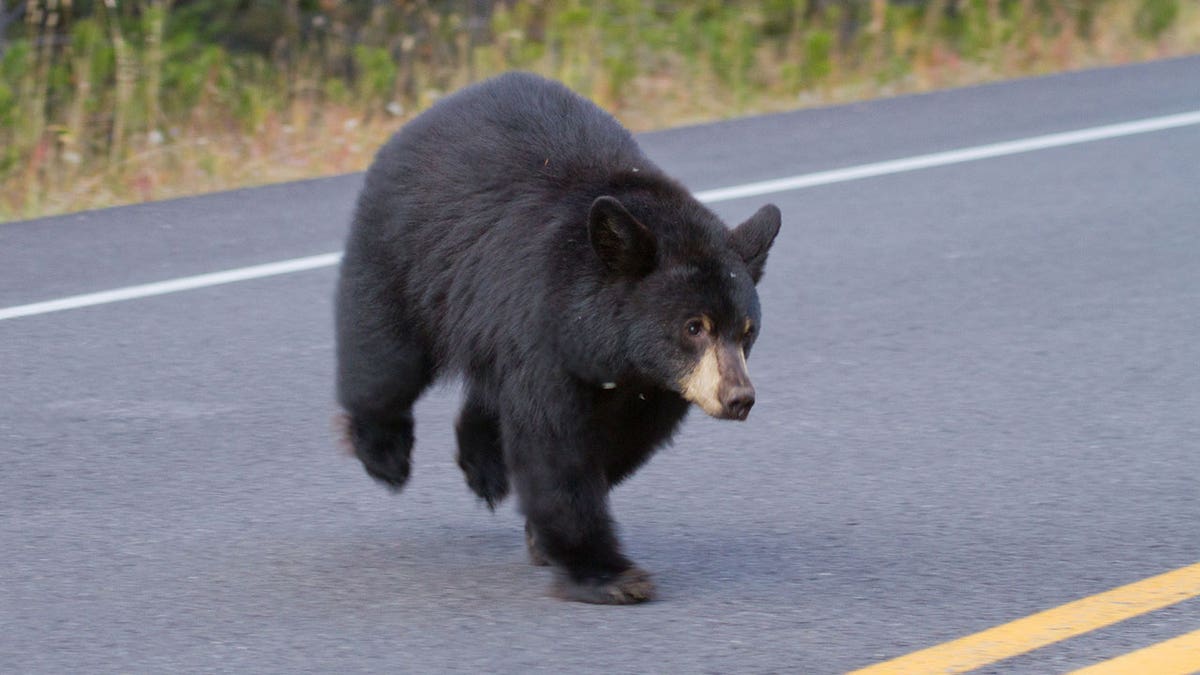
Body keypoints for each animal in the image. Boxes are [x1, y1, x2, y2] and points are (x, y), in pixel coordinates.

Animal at [333, 70, 782, 600]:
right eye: (694, 327)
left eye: (747, 331)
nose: (739, 397)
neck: (610, 350)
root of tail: (425, 115)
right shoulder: (542, 332)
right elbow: (553, 444)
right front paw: (608, 573)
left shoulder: (655, 386)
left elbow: (619, 442)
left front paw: (543, 537)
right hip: (406, 256)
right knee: (384, 361)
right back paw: (385, 453)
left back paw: (483, 465)